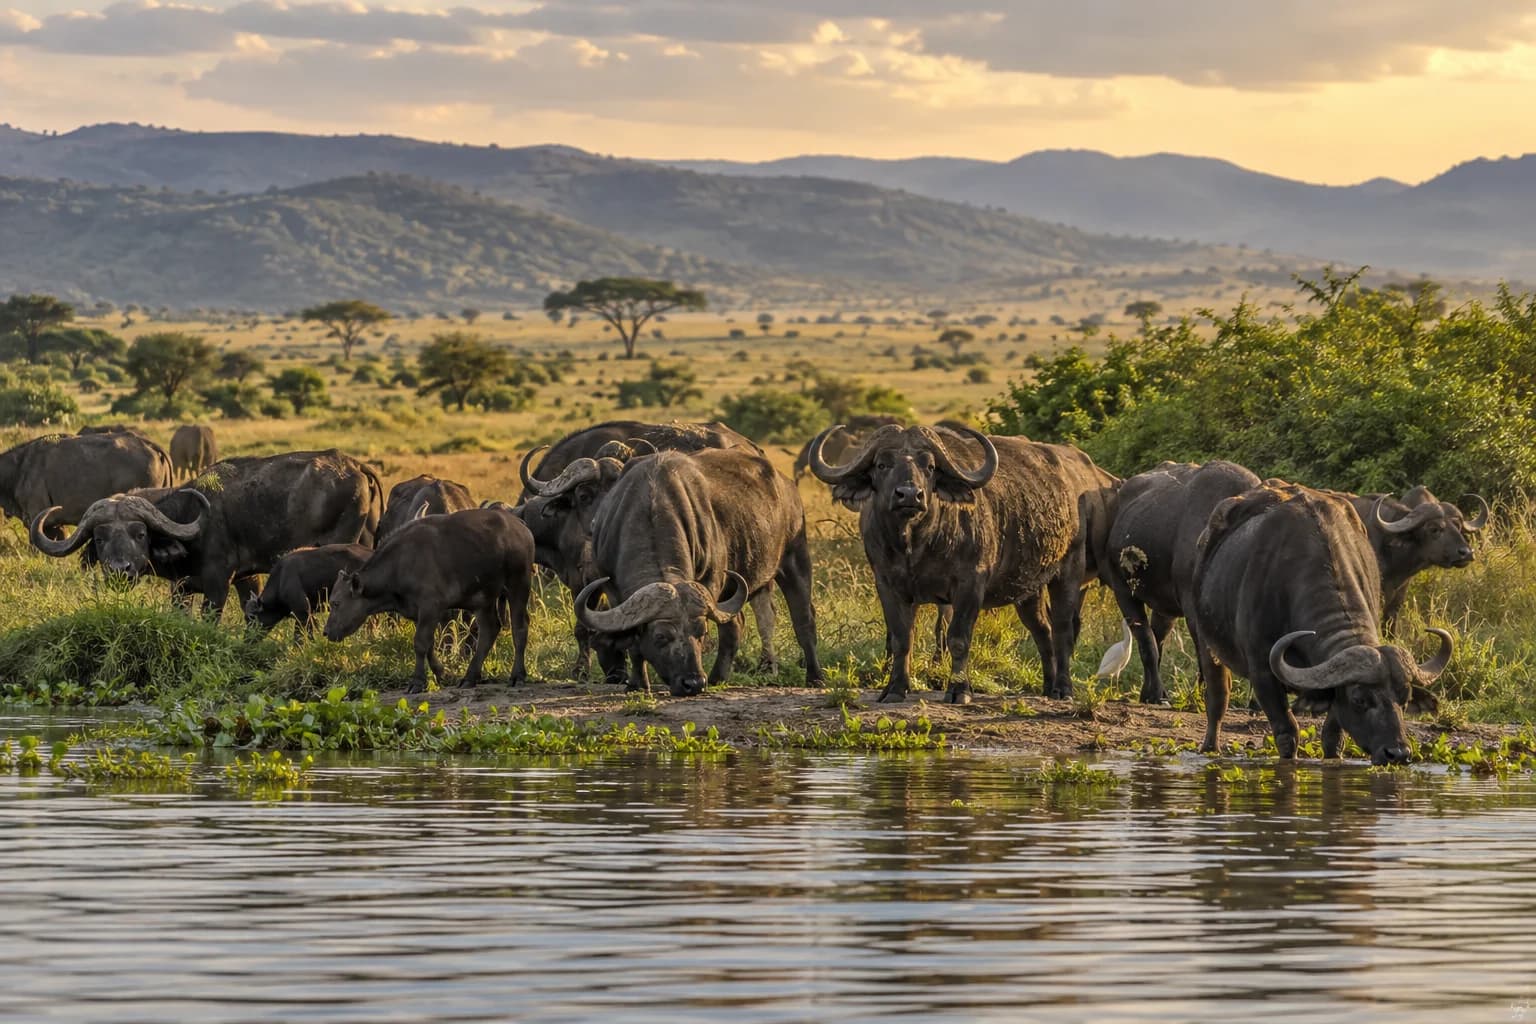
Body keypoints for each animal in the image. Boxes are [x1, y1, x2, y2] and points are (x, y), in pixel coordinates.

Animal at [31, 449, 384, 618]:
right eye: (100, 538)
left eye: (139, 534)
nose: (121, 570)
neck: (191, 521)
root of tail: (355, 466)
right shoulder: (195, 586)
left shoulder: (217, 585)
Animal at [325, 507, 533, 693]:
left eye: (336, 603)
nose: (326, 632)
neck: (400, 564)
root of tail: (520, 526)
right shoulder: (420, 613)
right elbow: (429, 644)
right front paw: (442, 673)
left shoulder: (430, 607)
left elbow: (420, 643)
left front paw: (417, 682)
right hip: (483, 599)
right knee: (489, 629)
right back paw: (469, 677)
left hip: (518, 585)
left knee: (519, 628)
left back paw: (517, 676)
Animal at [573, 448, 822, 696]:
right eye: (661, 637)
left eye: (701, 633)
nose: (693, 683)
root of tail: (787, 486)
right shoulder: (613, 591)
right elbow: (633, 644)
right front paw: (637, 683)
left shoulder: (712, 581)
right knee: (738, 622)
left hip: (795, 558)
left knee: (803, 620)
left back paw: (814, 677)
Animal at [808, 424, 1118, 704]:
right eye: (882, 464)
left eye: (930, 466)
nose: (909, 495)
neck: (915, 544)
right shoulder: (888, 585)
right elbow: (901, 639)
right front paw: (895, 688)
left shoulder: (970, 585)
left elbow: (957, 638)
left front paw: (959, 690)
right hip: (1028, 590)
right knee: (1043, 630)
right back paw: (1048, 686)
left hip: (1068, 572)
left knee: (1064, 629)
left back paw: (1063, 689)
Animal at [1190, 483, 1451, 764]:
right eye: (1359, 699)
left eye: (1405, 697)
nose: (1398, 753)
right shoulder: (1262, 673)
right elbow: (1287, 732)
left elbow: (1333, 736)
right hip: (1205, 640)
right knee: (1218, 696)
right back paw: (1210, 747)